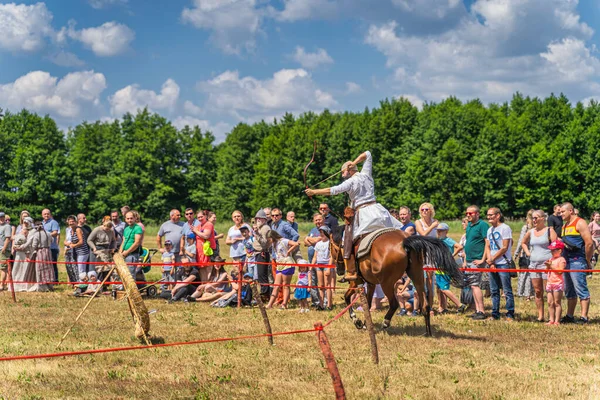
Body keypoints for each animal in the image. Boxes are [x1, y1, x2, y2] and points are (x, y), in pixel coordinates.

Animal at [328, 227, 464, 336]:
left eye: (331, 247)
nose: (339, 270)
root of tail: (404, 241)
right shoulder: (371, 284)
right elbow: (367, 302)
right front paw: (366, 323)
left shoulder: (355, 281)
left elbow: (347, 297)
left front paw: (357, 321)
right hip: (417, 276)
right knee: (425, 303)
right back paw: (427, 332)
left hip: (386, 283)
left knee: (394, 303)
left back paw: (385, 323)